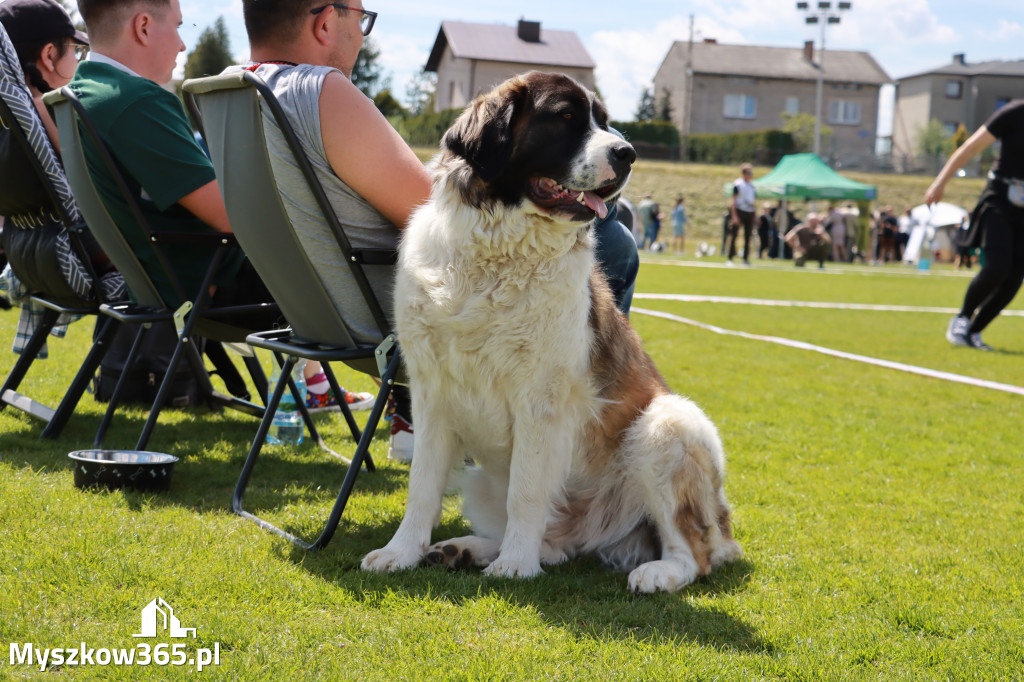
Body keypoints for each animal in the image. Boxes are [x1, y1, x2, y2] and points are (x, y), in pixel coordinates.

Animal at [364, 70, 741, 589]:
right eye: (565, 118)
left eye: (605, 121)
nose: (627, 153)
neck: (498, 254)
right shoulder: (431, 391)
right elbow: (422, 484)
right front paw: (401, 552)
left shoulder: (540, 399)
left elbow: (525, 490)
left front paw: (515, 567)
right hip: (484, 481)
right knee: (553, 544)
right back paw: (469, 549)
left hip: (669, 425)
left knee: (696, 552)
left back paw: (656, 572)